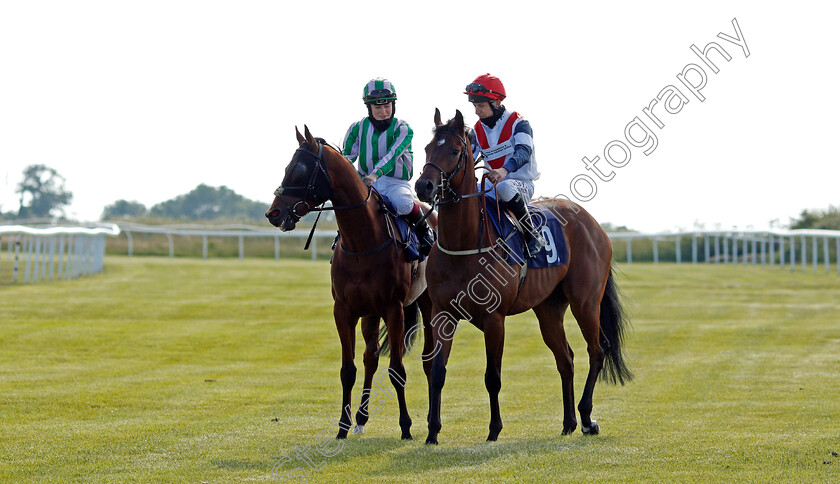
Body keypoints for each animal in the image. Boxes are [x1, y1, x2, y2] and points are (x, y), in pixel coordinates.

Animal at [266, 126, 436, 440]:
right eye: (286, 168)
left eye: (300, 170)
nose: (273, 214)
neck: (362, 241)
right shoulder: (344, 310)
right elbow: (349, 370)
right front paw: (343, 426)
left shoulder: (394, 309)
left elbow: (397, 370)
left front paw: (406, 426)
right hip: (370, 312)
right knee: (371, 356)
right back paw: (360, 418)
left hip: (427, 303)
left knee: (430, 360)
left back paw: (431, 418)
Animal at [414, 109, 632, 446]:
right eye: (426, 148)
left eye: (453, 150)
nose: (424, 186)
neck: (463, 244)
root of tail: (592, 223)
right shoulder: (442, 314)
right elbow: (437, 372)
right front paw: (433, 432)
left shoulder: (494, 319)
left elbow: (492, 377)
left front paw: (494, 429)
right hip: (548, 309)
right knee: (565, 359)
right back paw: (569, 422)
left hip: (585, 302)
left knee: (597, 350)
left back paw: (586, 418)